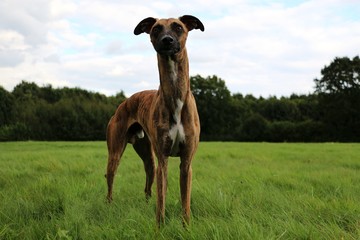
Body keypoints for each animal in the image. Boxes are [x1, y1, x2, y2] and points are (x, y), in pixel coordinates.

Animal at [105, 15, 204, 227]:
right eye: (156, 28)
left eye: (178, 27)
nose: (167, 40)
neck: (175, 95)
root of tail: (124, 103)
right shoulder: (163, 160)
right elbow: (161, 203)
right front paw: (160, 228)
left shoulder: (186, 162)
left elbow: (185, 203)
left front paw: (186, 227)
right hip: (116, 152)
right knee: (110, 179)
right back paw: (108, 205)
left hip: (148, 157)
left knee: (147, 186)